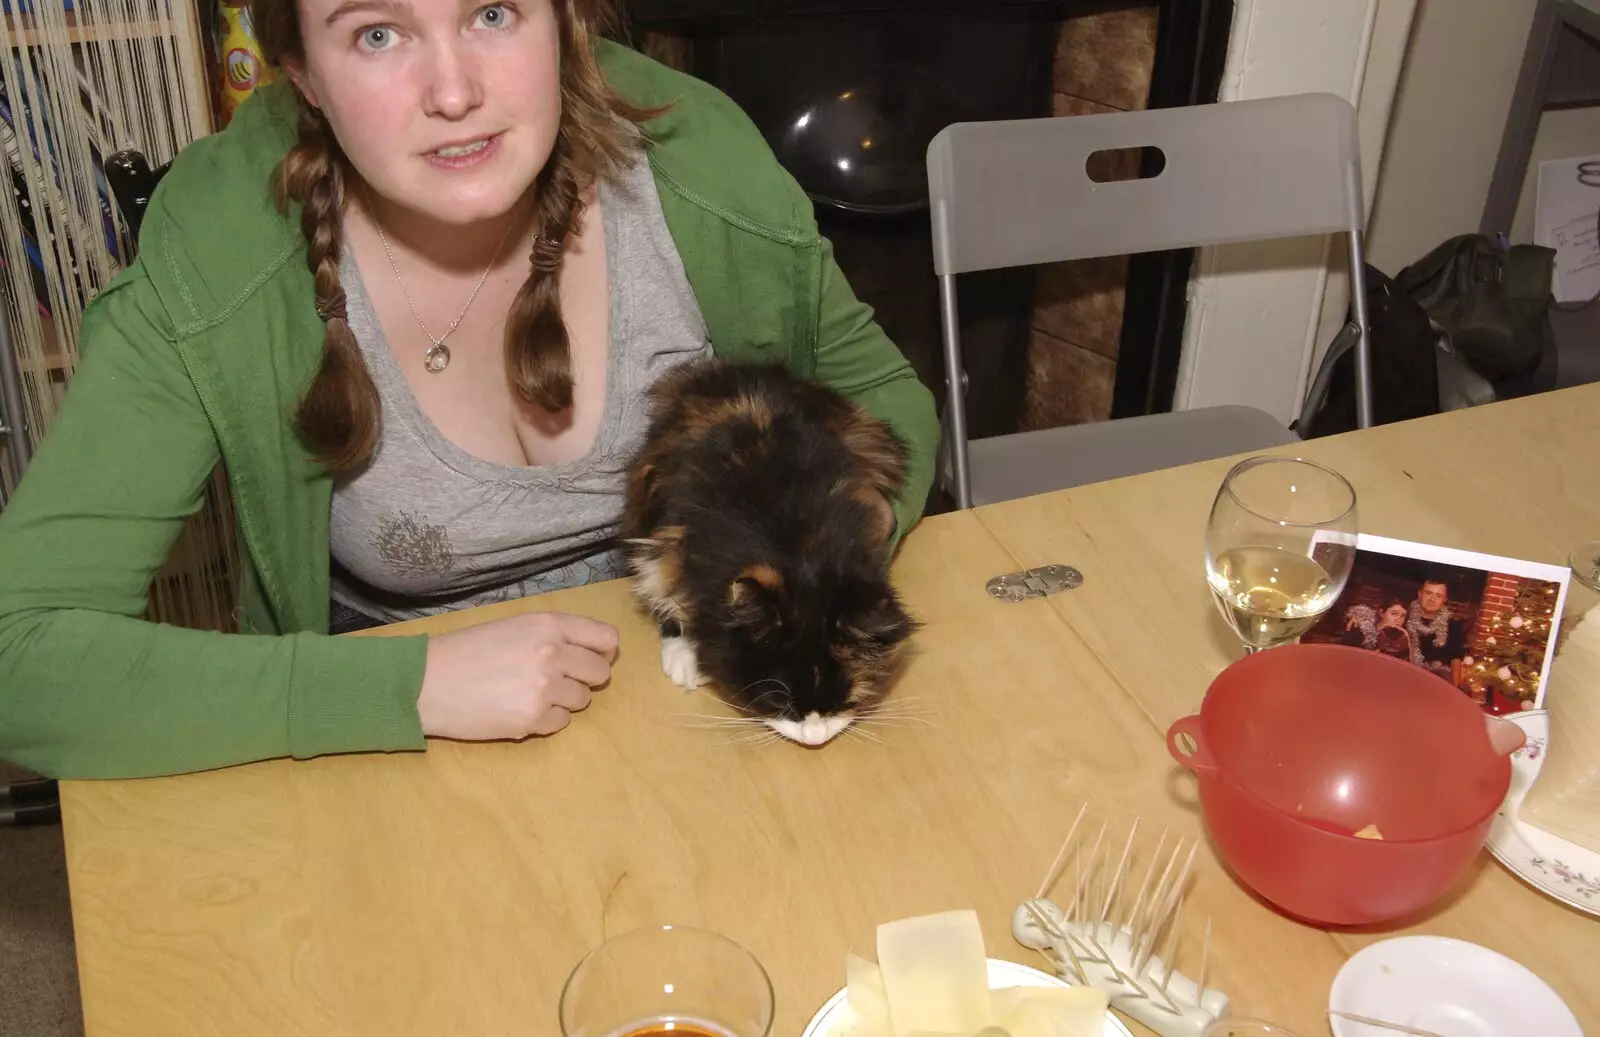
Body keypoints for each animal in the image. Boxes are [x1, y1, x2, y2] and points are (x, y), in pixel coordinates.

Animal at [620, 360, 921, 742]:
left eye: (844, 697)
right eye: (778, 700)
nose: (815, 738)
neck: (796, 544)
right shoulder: (663, 544)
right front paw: (686, 658)